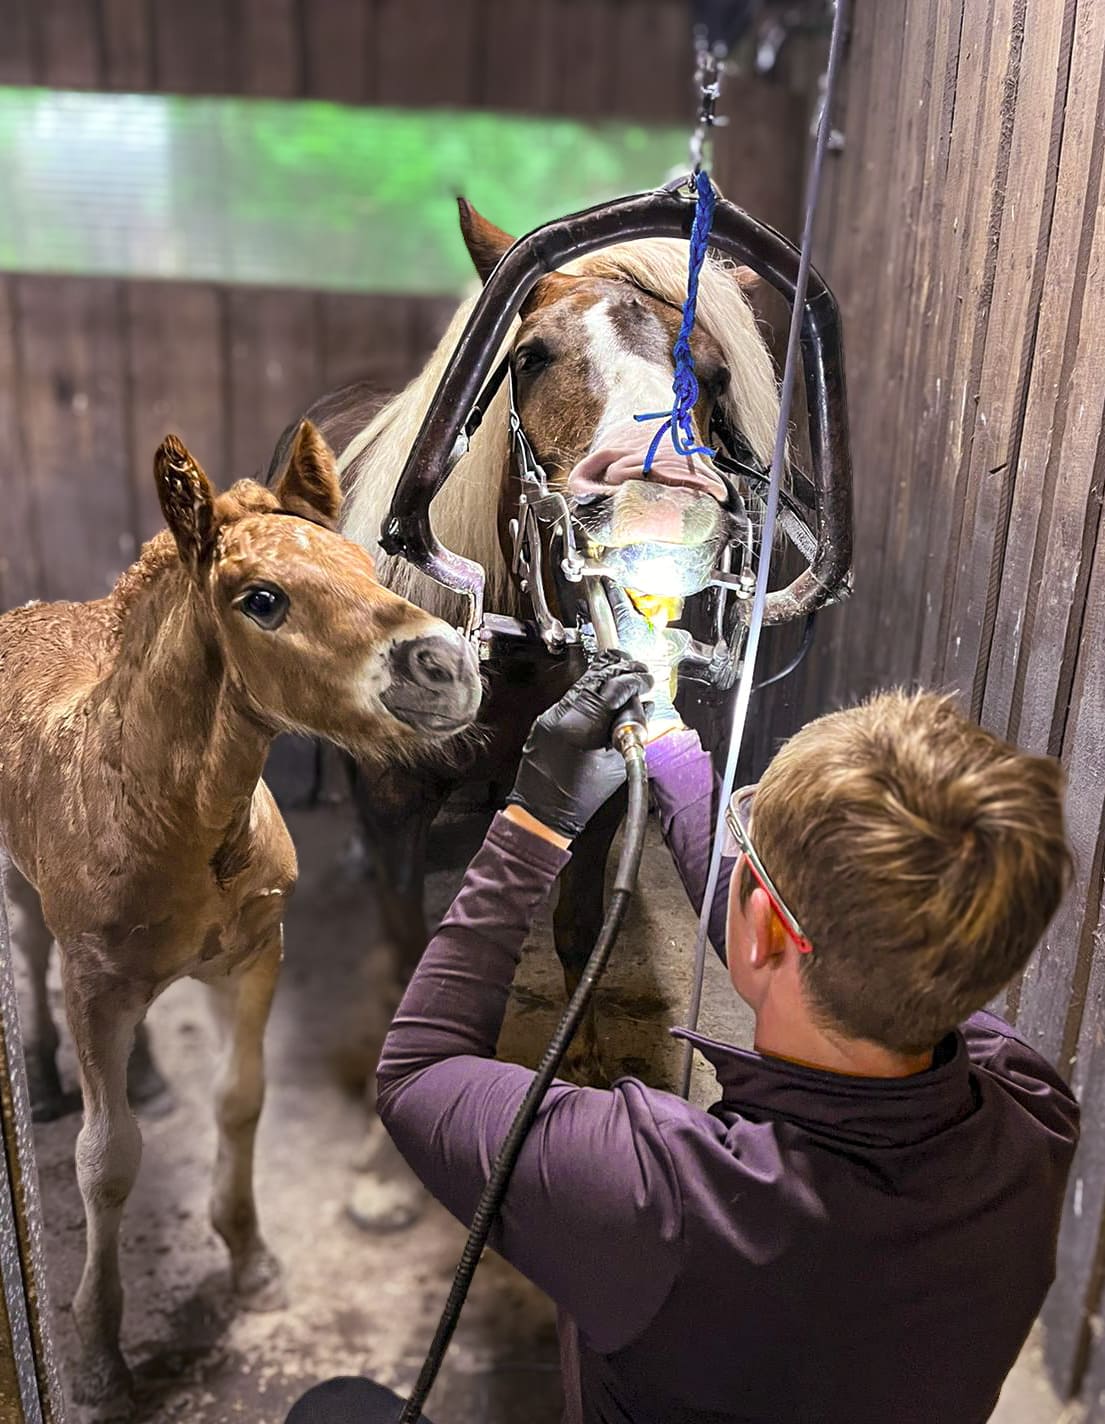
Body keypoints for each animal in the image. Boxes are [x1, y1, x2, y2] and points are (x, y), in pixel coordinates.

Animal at [0, 421, 482, 1419]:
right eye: (261, 599)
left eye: (364, 563)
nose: (448, 667)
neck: (176, 817)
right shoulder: (97, 985)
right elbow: (105, 1160)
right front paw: (99, 1361)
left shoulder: (254, 955)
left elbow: (241, 1099)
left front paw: (254, 1263)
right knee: (29, 945)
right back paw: (44, 1071)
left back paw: (147, 1075)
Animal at [267, 199, 783, 1230]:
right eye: (534, 356)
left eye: (710, 376)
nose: (658, 527)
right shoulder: (395, 804)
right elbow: (403, 944)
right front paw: (379, 1167)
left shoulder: (602, 791)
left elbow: (580, 930)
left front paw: (574, 1079)